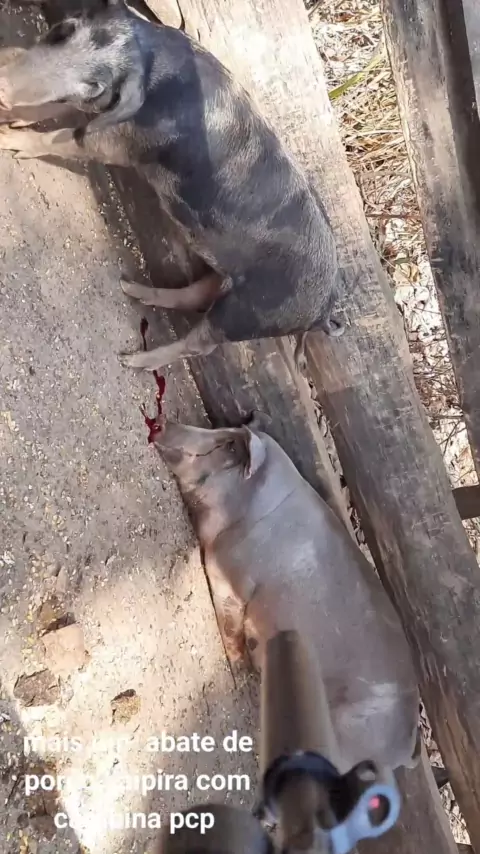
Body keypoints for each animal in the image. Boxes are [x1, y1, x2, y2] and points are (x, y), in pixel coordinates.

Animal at [0, 0, 344, 372]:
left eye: (95, 84)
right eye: (64, 31)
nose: (3, 87)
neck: (153, 65)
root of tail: (323, 310)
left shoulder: (114, 143)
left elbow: (60, 138)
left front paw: (8, 139)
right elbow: (53, 107)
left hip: (249, 313)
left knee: (199, 344)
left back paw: (131, 360)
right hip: (223, 280)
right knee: (193, 295)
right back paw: (129, 288)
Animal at [150, 418, 420, 773]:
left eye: (228, 445)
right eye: (222, 431)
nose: (164, 423)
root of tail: (407, 745)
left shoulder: (233, 579)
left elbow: (229, 621)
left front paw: (235, 666)